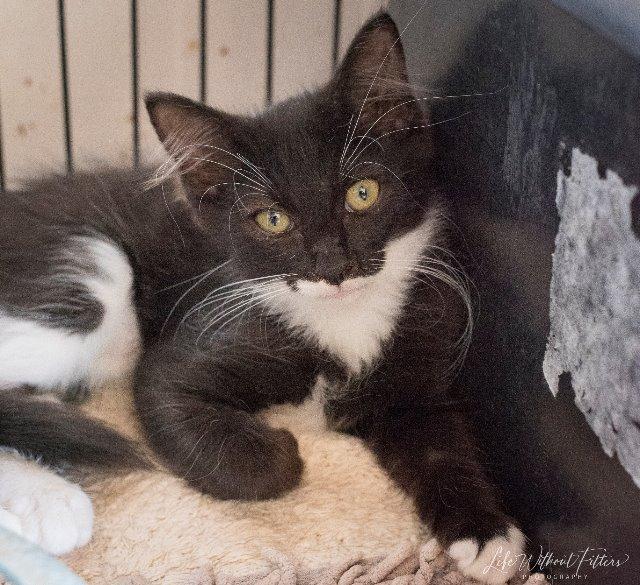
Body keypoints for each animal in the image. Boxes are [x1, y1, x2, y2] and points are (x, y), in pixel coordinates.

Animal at [0, 12, 524, 583]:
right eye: (273, 220)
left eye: (362, 193)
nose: (333, 268)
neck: (344, 319)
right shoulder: (201, 336)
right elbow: (188, 414)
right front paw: (283, 452)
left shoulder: (412, 375)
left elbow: (441, 447)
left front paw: (485, 535)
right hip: (95, 280)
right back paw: (52, 499)